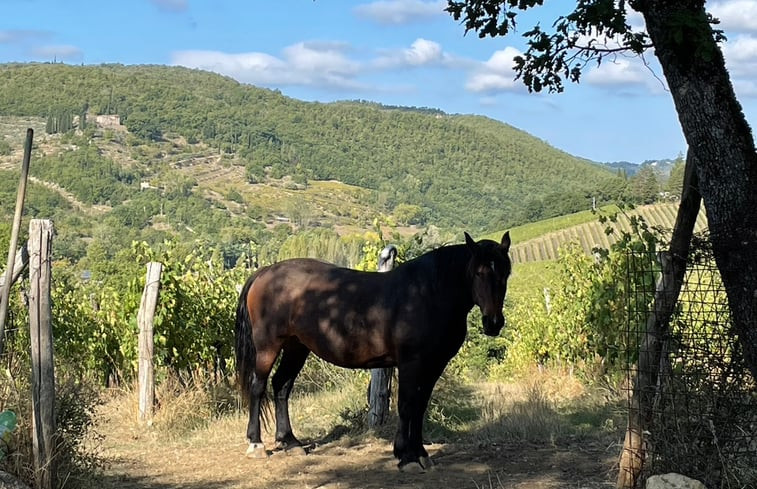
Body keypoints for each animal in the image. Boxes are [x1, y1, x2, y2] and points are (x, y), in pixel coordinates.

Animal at [233, 231, 510, 470]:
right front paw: (406, 456)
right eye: (478, 273)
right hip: (268, 346)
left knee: (281, 385)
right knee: (258, 387)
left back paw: (290, 442)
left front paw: (419, 454)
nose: (493, 323)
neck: (427, 294)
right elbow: (407, 405)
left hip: (296, 346)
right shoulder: (411, 363)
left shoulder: (433, 365)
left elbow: (420, 406)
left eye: (506, 272)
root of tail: (264, 273)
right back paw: (256, 444)